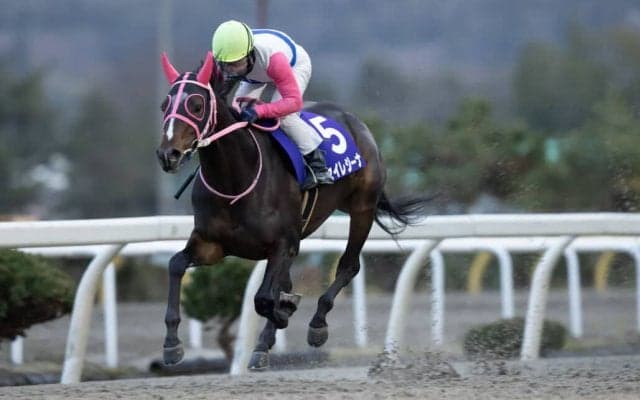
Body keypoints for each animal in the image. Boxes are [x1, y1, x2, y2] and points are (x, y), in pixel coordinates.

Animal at [156, 51, 429, 370]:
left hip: (362, 207)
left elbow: (263, 298)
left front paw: (284, 313)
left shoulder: (283, 243)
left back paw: (316, 325)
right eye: (164, 105)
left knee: (349, 265)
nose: (168, 155)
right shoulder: (212, 244)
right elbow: (176, 264)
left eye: (196, 105)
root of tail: (355, 122)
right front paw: (171, 344)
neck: (237, 178)